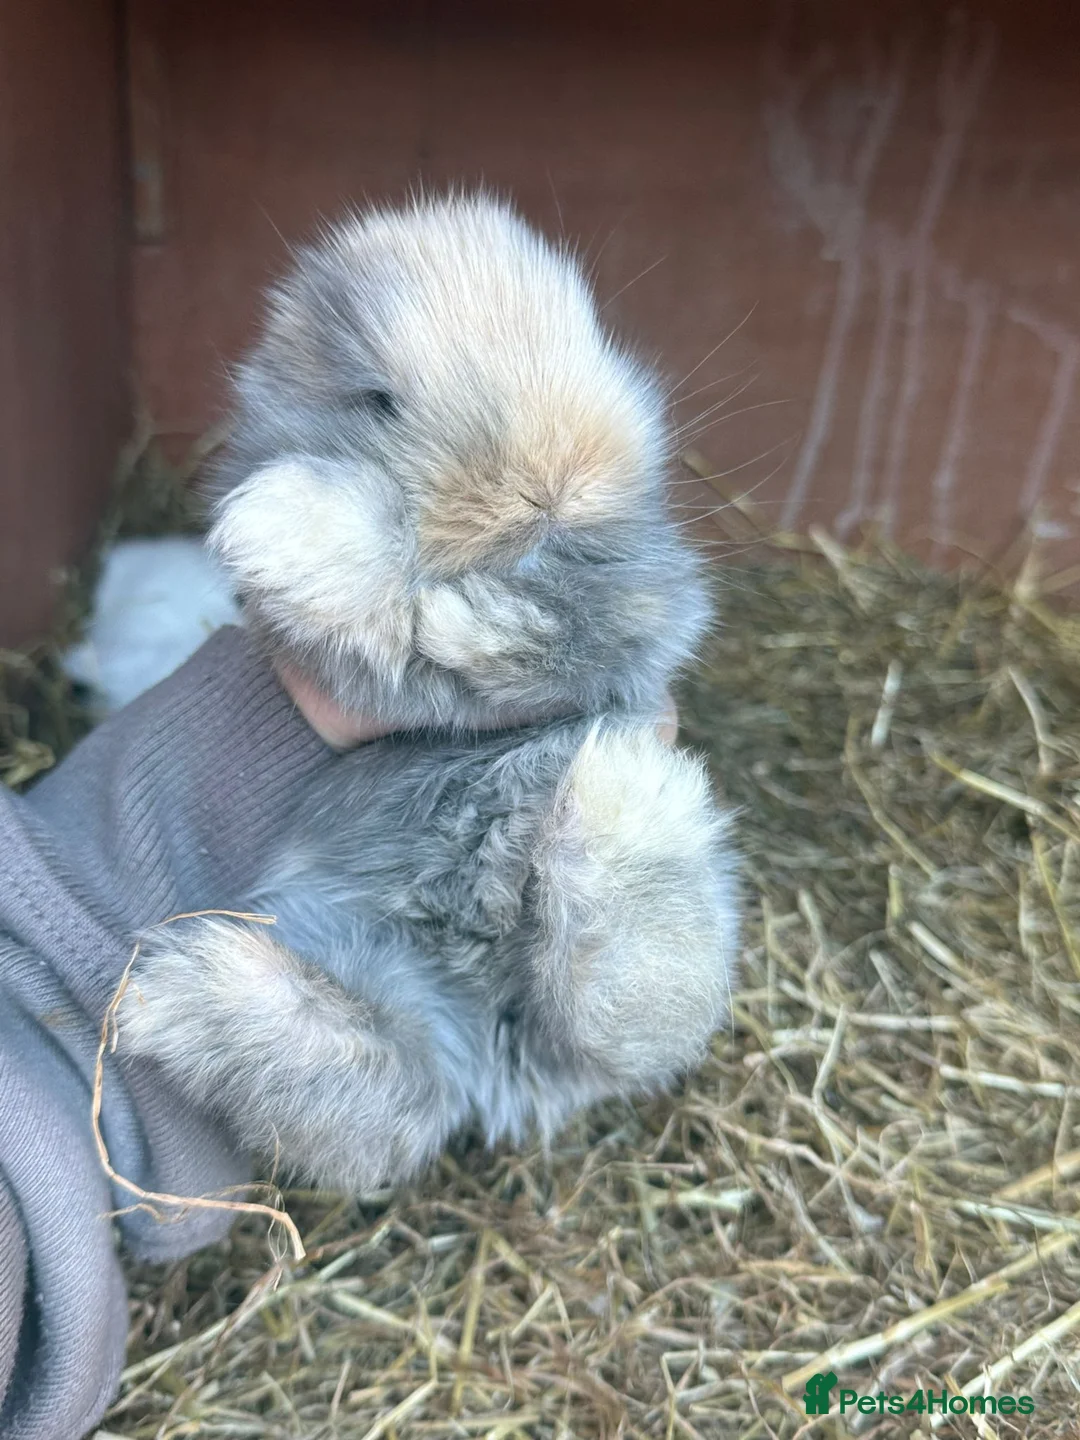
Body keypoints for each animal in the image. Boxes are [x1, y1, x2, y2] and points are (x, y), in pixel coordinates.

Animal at [117, 193, 740, 1195]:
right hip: (368, 986)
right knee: (381, 1106)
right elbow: (383, 607)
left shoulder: (649, 606)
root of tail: (498, 1068)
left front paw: (478, 619)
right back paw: (177, 993)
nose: (550, 487)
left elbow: (576, 632)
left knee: (623, 1022)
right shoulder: (348, 665)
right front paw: (285, 529)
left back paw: (621, 801)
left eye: (590, 333)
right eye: (378, 402)